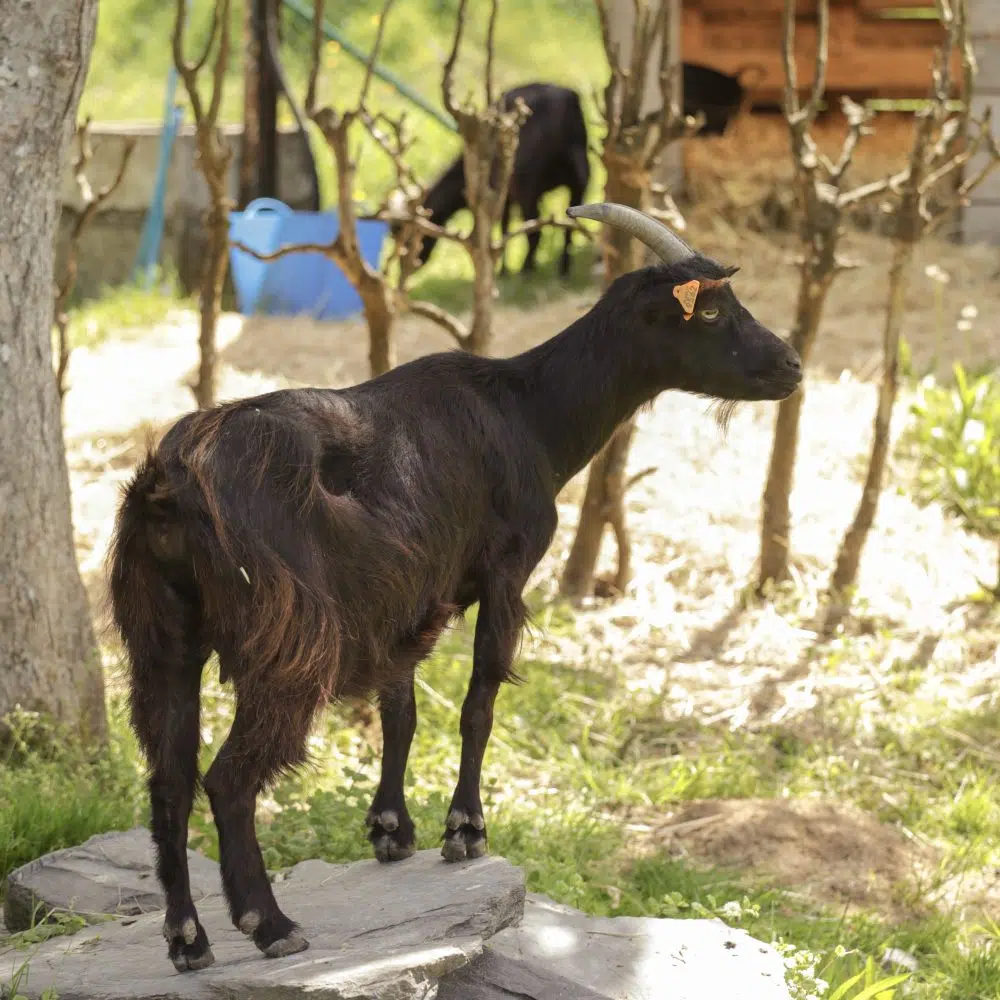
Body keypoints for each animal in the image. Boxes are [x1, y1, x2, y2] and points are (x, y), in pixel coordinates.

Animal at [108, 202, 802, 971]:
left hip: (162, 636)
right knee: (227, 778)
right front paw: (464, 829)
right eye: (709, 310)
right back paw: (270, 923)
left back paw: (187, 939)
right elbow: (479, 702)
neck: (530, 413)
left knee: (167, 781)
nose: (791, 366)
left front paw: (390, 829)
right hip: (290, 638)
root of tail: (171, 483)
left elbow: (401, 713)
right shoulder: (505, 570)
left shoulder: (405, 601)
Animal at [407, 82, 591, 278]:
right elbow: (506, 228)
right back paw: (563, 269)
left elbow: (505, 228)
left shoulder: (501, 194)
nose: (412, 264)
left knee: (536, 231)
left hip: (528, 187)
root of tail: (567, 103)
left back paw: (527, 271)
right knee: (570, 227)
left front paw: (503, 271)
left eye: (404, 231)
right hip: (580, 178)